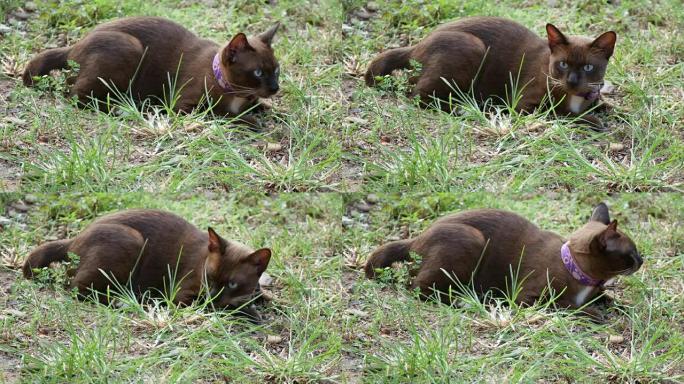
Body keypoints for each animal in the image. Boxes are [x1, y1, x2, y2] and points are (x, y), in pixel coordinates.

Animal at [23, 15, 280, 121]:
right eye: (258, 73)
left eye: (276, 70)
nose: (275, 88)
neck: (236, 92)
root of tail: (75, 45)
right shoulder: (182, 105)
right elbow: (222, 114)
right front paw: (252, 121)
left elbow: (259, 105)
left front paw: (271, 110)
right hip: (130, 49)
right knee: (78, 96)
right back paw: (127, 109)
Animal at [24, 208, 272, 320]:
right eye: (209, 276)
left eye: (231, 284)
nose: (212, 294)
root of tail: (74, 239)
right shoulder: (182, 296)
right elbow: (221, 308)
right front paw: (251, 313)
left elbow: (260, 295)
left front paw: (258, 301)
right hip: (132, 241)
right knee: (79, 289)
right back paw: (129, 302)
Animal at [366, 17, 616, 130]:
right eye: (563, 64)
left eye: (588, 68)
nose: (572, 81)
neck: (577, 96)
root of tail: (418, 44)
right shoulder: (524, 106)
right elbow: (561, 113)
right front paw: (592, 120)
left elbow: (605, 105)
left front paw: (608, 108)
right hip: (473, 48)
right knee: (420, 96)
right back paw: (471, 109)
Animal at [366, 202, 644, 316]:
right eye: (631, 254)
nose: (642, 260)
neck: (584, 278)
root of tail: (417, 238)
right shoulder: (525, 297)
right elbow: (565, 305)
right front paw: (593, 314)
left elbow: (608, 299)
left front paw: (623, 307)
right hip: (471, 241)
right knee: (420, 289)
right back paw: (468, 302)